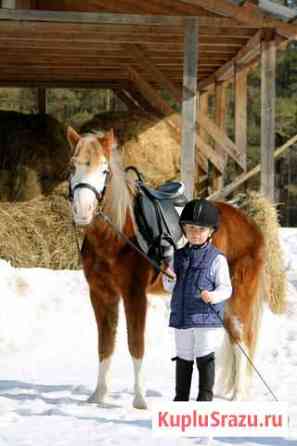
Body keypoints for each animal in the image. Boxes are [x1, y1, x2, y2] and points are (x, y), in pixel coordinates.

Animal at [66, 127, 284, 410]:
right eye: (72, 167)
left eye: (104, 170)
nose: (83, 211)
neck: (116, 233)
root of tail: (250, 222)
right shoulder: (101, 295)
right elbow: (105, 345)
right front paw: (99, 396)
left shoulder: (134, 295)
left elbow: (135, 344)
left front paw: (139, 400)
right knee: (235, 338)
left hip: (239, 296)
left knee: (241, 338)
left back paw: (238, 395)